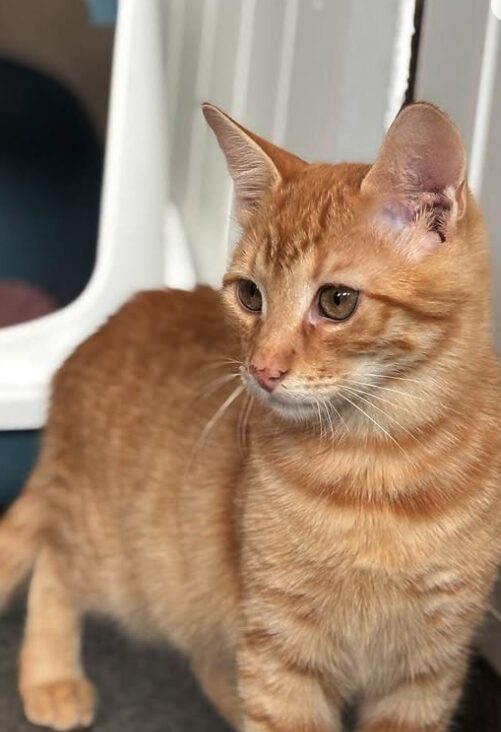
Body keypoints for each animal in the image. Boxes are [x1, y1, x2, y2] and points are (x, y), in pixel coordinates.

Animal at [0, 100, 500, 728]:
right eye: (250, 295)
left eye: (337, 301)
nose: (262, 369)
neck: (380, 464)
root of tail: (88, 340)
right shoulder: (279, 648)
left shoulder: (426, 670)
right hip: (124, 561)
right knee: (53, 560)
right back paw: (51, 676)